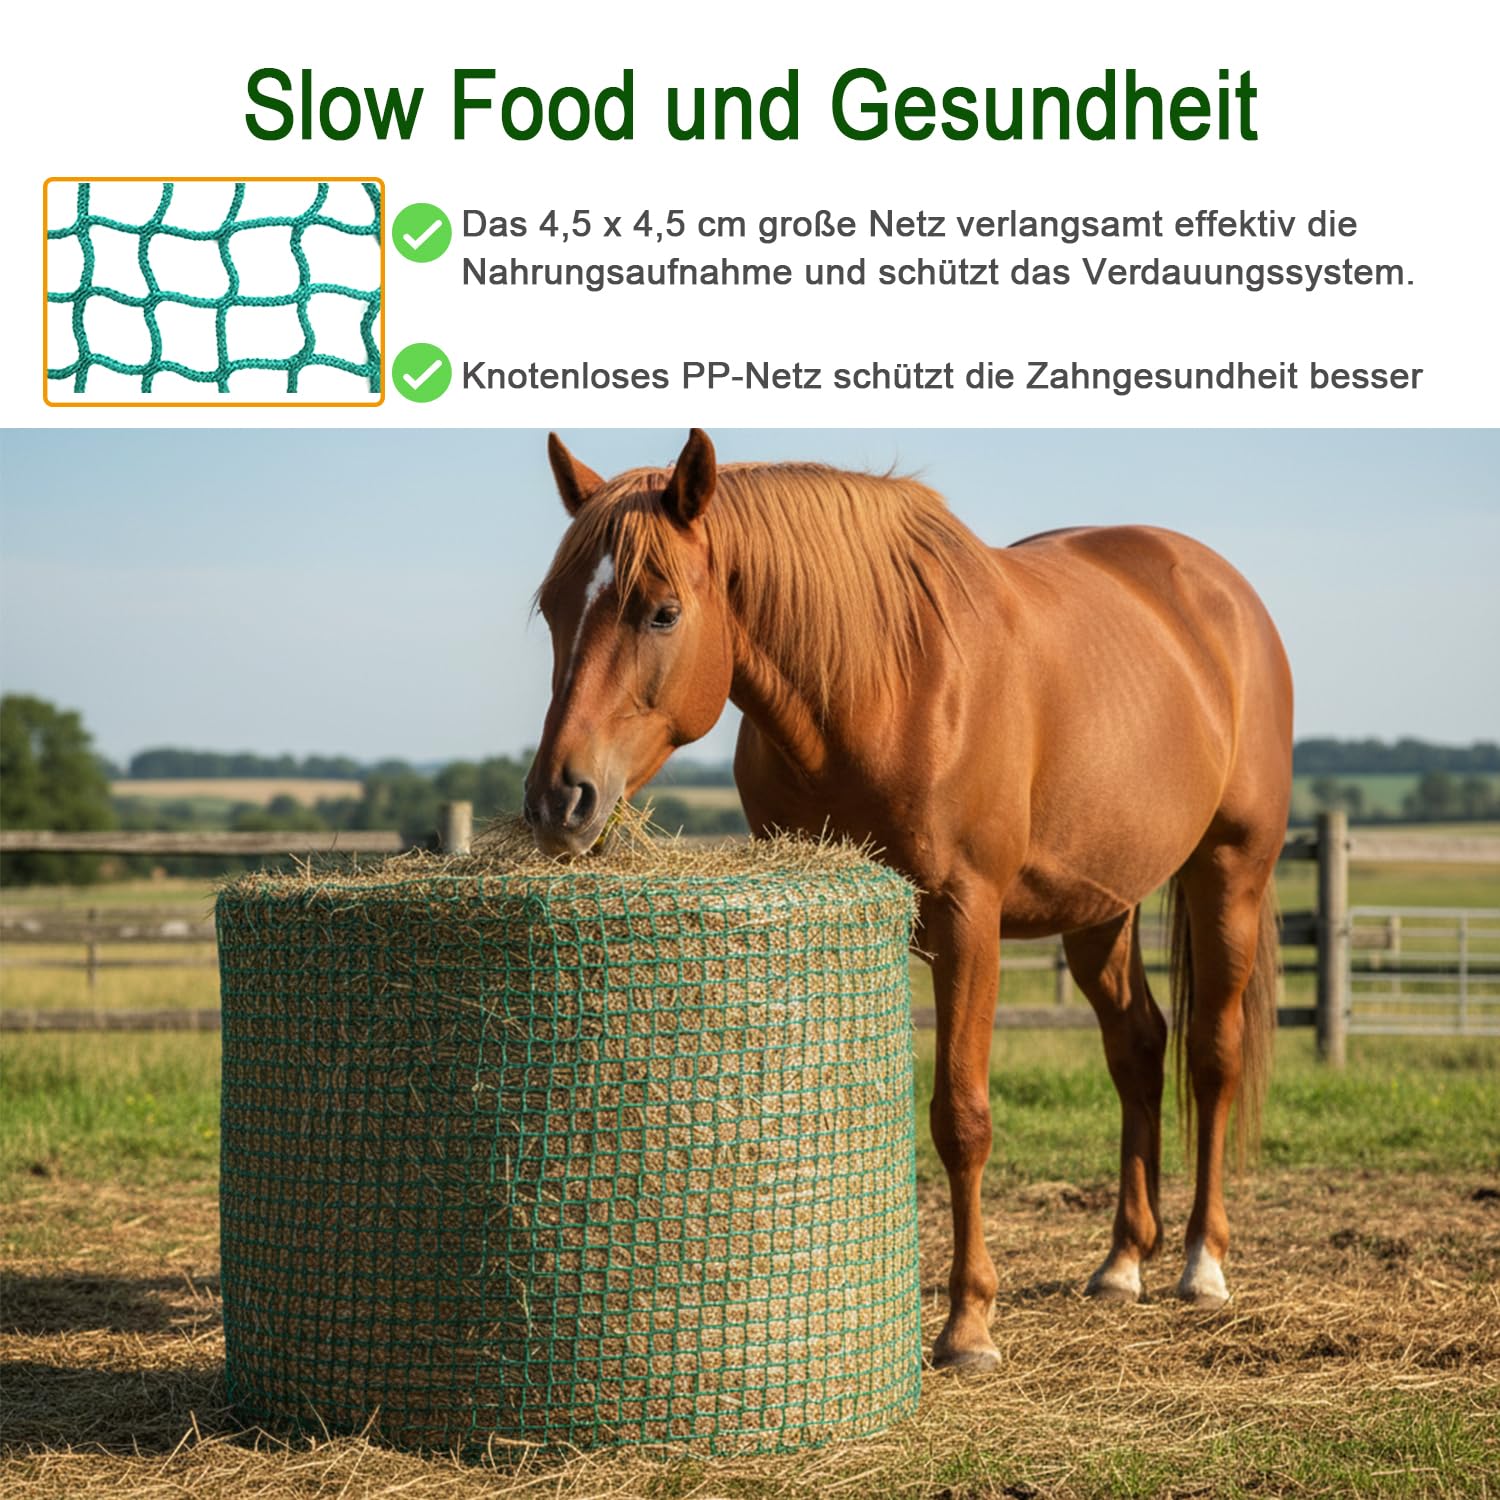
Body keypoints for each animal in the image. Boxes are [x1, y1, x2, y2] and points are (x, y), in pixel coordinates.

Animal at [524, 429, 1293, 1371]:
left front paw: (967, 1326)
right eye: (554, 610)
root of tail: (1220, 593)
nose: (560, 800)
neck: (885, 686)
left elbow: (961, 1118)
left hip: (1231, 872)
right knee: (1139, 1049)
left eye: (661, 612)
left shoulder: (967, 920)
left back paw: (1201, 1265)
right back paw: (1121, 1262)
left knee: (1212, 1056)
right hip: (1100, 905)